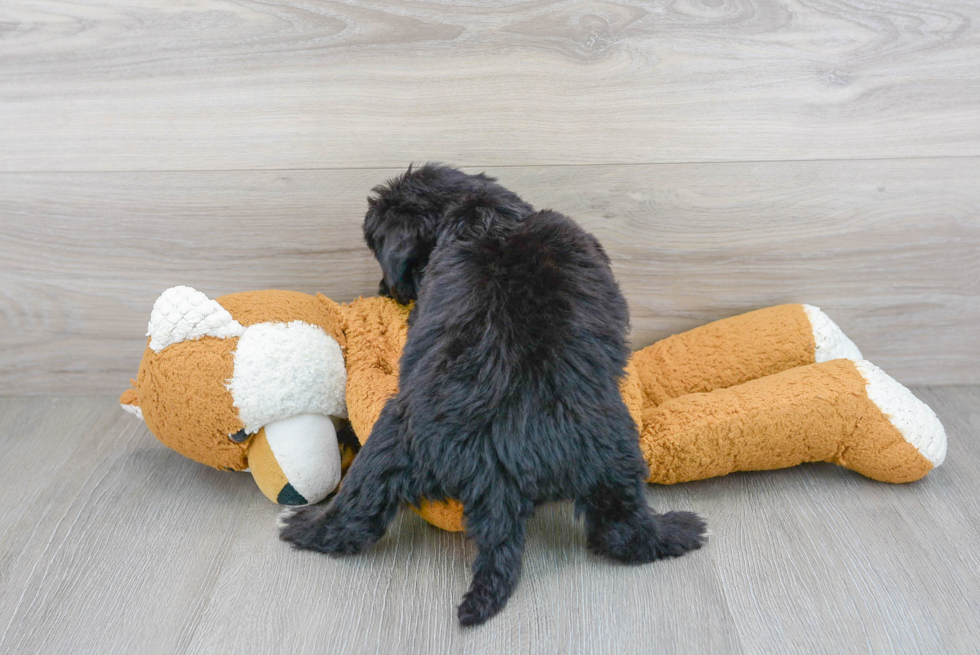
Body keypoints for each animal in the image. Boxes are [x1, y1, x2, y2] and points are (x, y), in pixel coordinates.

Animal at [280, 164, 708, 624]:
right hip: (614, 453)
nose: (382, 289)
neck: (483, 214)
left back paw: (302, 526)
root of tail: (497, 466)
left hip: (388, 448)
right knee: (622, 531)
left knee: (354, 514)